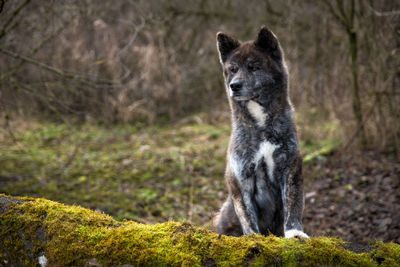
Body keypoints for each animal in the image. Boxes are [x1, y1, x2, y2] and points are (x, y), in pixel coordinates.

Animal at [212, 26, 310, 239]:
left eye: (254, 67)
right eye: (233, 69)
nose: (234, 85)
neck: (262, 127)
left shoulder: (290, 170)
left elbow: (293, 206)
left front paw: (294, 232)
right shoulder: (241, 180)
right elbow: (248, 216)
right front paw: (253, 238)